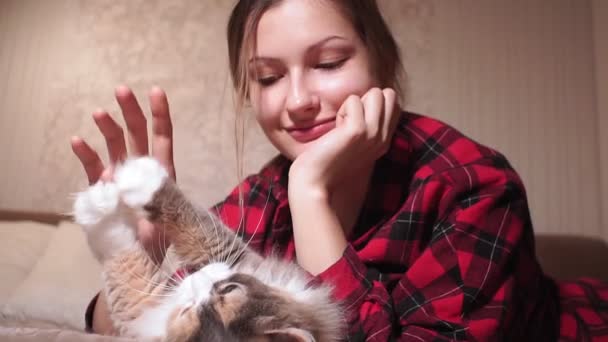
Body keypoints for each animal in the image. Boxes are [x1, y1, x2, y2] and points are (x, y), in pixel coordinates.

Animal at [72, 158, 342, 342]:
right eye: (230, 288)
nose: (197, 278)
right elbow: (192, 226)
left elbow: (122, 259)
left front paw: (123, 187)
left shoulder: (144, 309)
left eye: (187, 312)